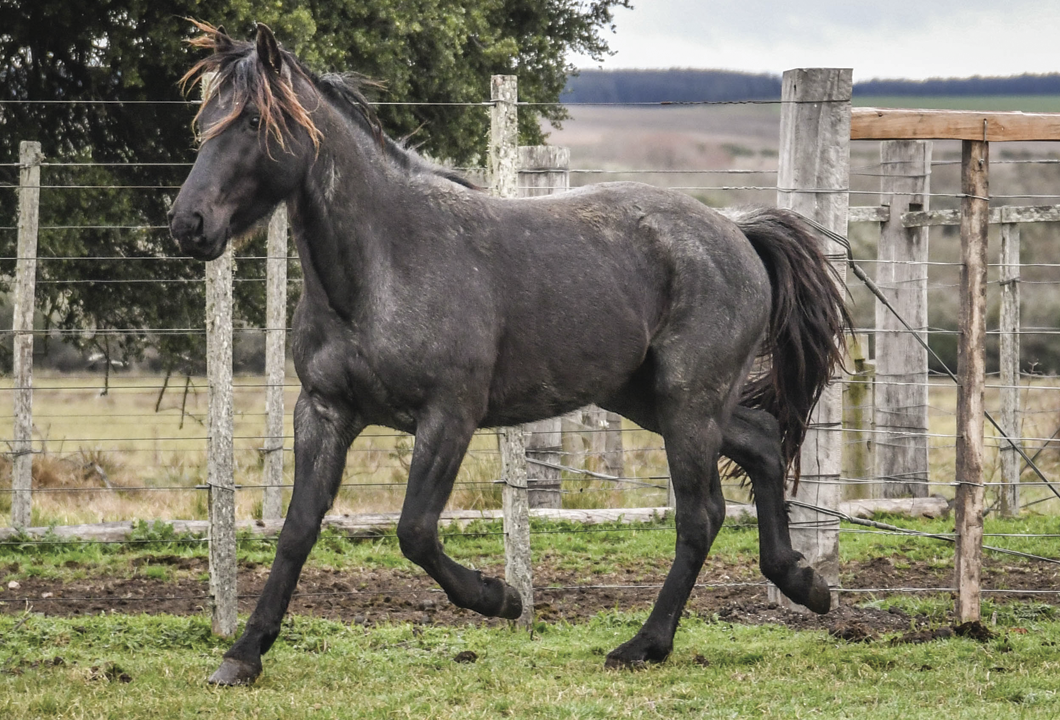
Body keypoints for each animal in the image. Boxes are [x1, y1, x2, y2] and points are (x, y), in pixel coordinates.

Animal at [171, 23, 852, 687]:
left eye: (253, 121)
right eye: (205, 117)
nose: (188, 223)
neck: (381, 266)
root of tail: (737, 230)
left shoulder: (449, 416)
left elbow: (414, 532)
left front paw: (500, 598)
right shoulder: (324, 411)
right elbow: (297, 531)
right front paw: (243, 655)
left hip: (688, 403)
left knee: (700, 515)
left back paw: (644, 645)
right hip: (652, 399)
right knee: (762, 443)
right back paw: (803, 582)